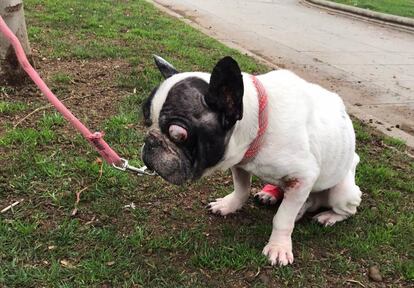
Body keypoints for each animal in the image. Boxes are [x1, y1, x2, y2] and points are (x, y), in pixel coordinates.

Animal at [141, 55, 360, 266]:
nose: (150, 141)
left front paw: (278, 246)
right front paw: (228, 205)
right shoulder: (240, 163)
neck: (259, 125)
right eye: (145, 118)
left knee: (346, 209)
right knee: (306, 201)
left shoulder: (303, 177)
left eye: (178, 134)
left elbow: (283, 218)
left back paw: (327, 216)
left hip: (342, 192)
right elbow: (241, 189)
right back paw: (273, 196)